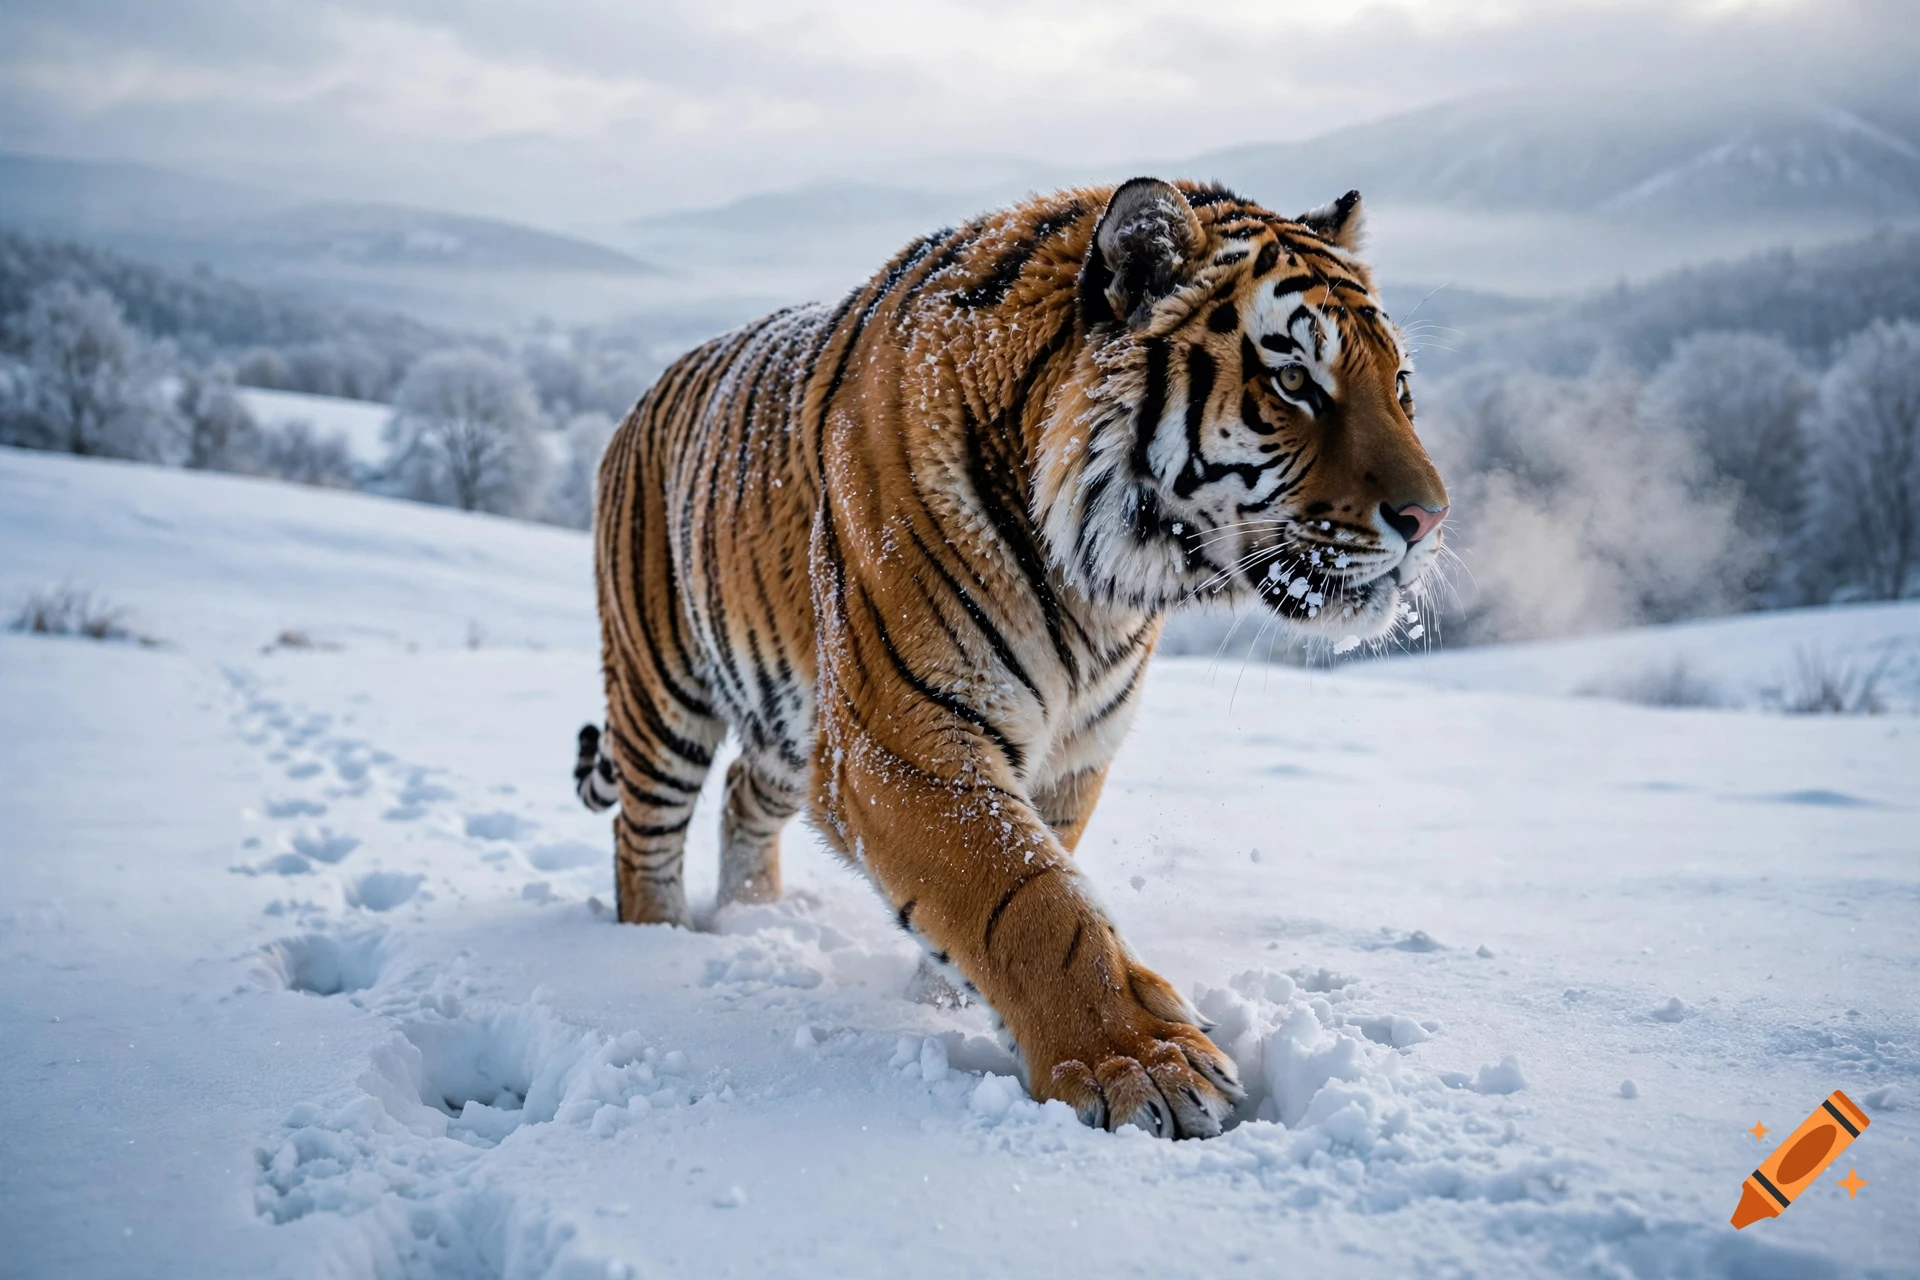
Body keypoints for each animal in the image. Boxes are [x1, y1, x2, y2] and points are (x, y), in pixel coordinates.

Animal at [574, 178, 1449, 1140]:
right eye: (1294, 381)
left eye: (1400, 385)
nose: (1431, 518)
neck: (1103, 588)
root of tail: (647, 393)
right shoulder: (901, 738)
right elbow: (1027, 899)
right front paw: (1138, 1063)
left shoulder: (1071, 750)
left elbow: (1037, 875)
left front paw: (947, 1001)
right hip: (662, 695)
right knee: (643, 836)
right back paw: (655, 951)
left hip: (785, 719)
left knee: (740, 797)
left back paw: (758, 920)